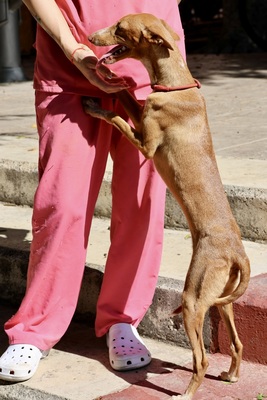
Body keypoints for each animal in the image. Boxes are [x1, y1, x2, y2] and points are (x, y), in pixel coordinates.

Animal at [84, 13, 251, 400]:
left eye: (119, 28)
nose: (90, 36)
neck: (176, 86)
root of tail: (237, 252)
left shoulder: (146, 145)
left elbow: (117, 118)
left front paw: (97, 107)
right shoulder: (143, 113)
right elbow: (128, 96)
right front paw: (114, 86)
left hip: (193, 299)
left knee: (202, 358)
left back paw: (188, 392)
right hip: (222, 299)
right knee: (236, 344)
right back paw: (232, 375)